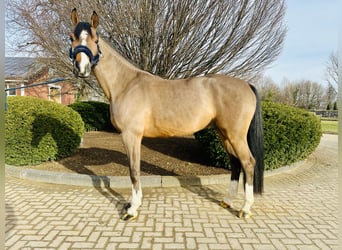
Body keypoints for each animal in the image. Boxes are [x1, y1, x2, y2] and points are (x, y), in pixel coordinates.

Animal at [68, 8, 264, 221]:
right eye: (72, 38)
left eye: (95, 40)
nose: (81, 68)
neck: (126, 84)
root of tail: (246, 84)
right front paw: (132, 205)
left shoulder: (131, 135)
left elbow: (134, 171)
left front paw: (132, 209)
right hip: (223, 134)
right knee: (236, 164)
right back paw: (227, 201)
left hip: (235, 135)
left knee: (248, 163)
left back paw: (245, 209)